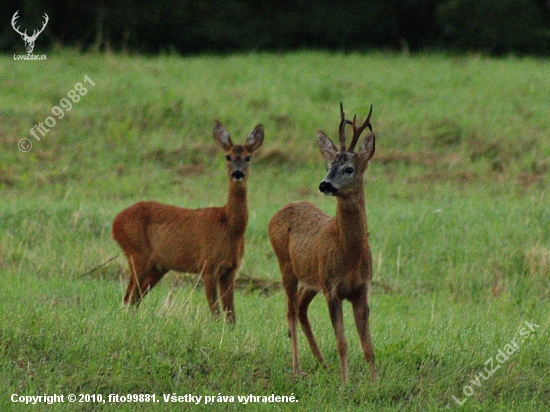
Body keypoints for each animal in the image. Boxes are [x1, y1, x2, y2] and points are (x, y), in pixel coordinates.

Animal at [112, 120, 266, 324]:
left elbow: (231, 315)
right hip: (137, 253)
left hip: (158, 266)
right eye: (228, 156)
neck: (229, 225)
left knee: (134, 298)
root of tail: (115, 223)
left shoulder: (230, 269)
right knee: (129, 296)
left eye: (248, 157)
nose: (238, 173)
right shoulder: (207, 264)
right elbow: (215, 311)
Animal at [270, 104, 380, 384]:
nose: (324, 184)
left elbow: (368, 345)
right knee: (290, 312)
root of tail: (281, 210)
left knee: (300, 307)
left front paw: (375, 382)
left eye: (349, 168)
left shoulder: (361, 289)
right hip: (286, 266)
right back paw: (297, 368)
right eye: (328, 165)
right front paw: (345, 382)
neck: (349, 253)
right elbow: (342, 342)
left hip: (312, 278)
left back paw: (322, 363)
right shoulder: (332, 289)